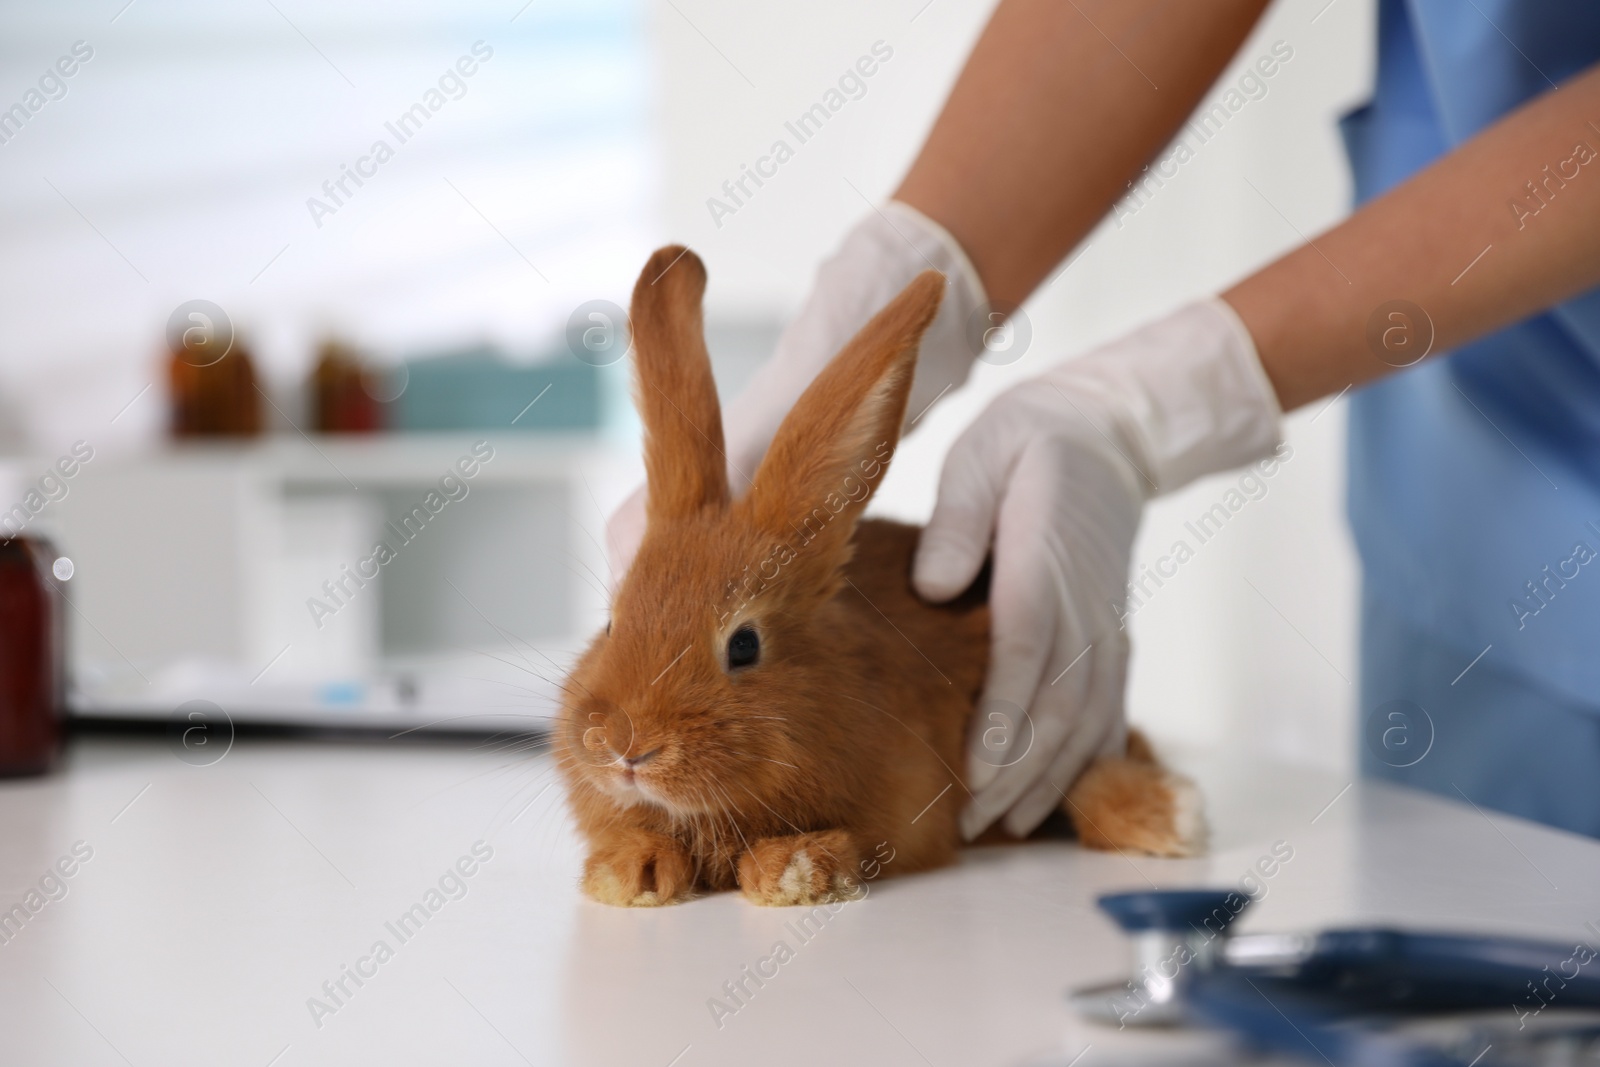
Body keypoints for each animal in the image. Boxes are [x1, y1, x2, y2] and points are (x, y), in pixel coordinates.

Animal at [556, 246, 1203, 908]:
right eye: (611, 624)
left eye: (744, 645)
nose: (626, 748)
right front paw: (629, 870)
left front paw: (794, 871)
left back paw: (1170, 815)